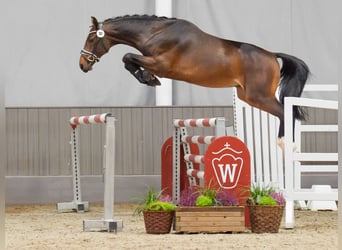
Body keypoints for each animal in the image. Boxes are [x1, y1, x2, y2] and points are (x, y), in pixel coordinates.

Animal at [80, 15, 310, 145]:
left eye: (91, 39)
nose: (82, 64)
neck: (156, 33)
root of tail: (272, 55)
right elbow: (129, 60)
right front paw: (148, 77)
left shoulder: (161, 64)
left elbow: (127, 57)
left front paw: (148, 78)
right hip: (247, 95)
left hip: (259, 96)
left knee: (284, 112)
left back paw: (284, 143)